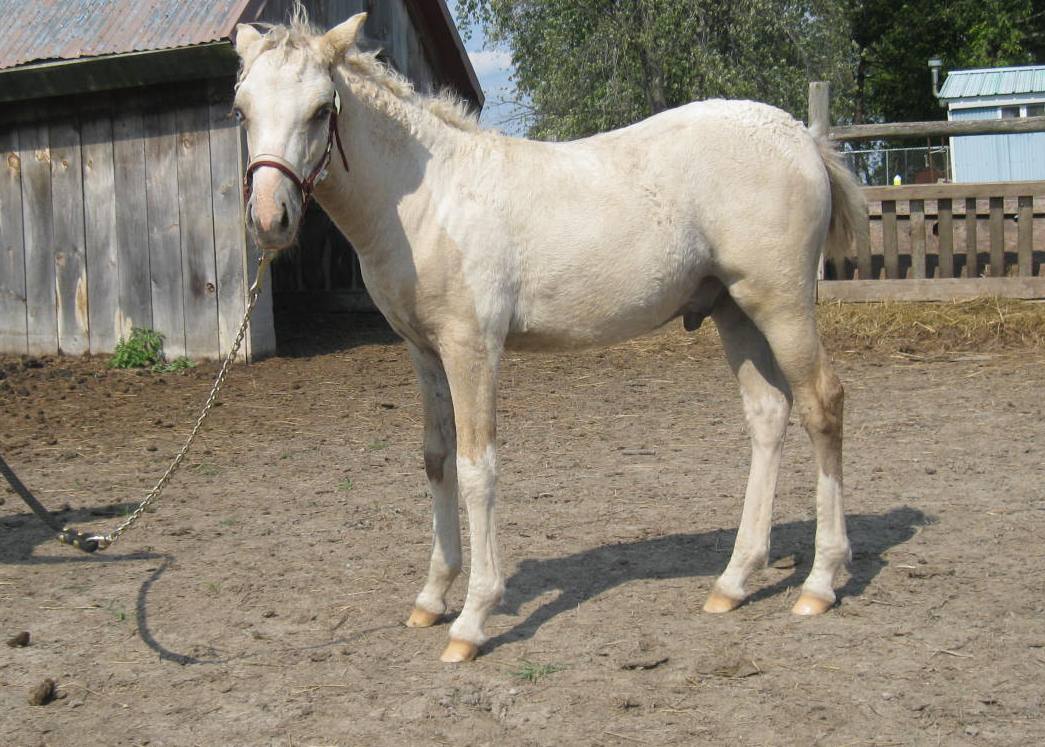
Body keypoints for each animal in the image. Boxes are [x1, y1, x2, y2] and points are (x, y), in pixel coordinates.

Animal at [232, 10, 864, 663]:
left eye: (320, 109)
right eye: (241, 109)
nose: (270, 220)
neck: (430, 199)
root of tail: (801, 137)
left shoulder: (472, 347)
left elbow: (477, 468)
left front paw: (472, 620)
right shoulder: (423, 352)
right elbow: (437, 459)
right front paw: (432, 598)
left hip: (782, 305)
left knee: (822, 405)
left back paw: (819, 583)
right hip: (733, 311)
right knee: (768, 414)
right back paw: (734, 581)